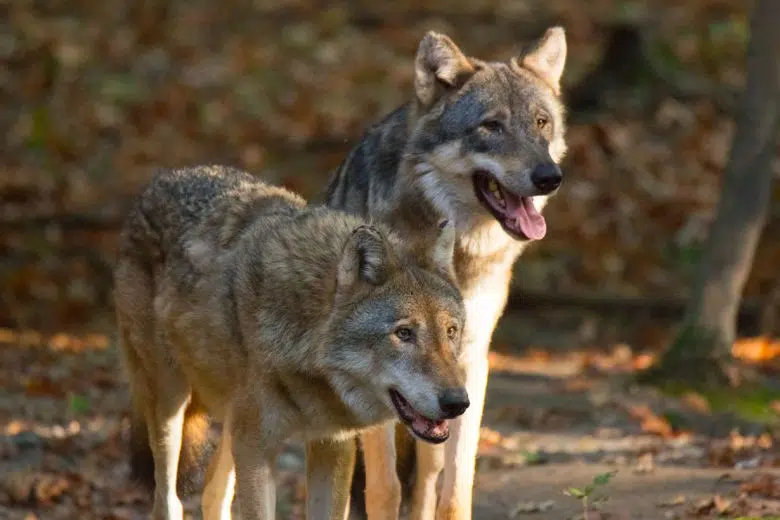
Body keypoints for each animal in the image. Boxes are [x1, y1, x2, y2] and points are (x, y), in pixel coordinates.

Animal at [114, 165, 472, 519]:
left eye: (451, 331)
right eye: (404, 333)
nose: (458, 403)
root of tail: (162, 178)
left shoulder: (333, 445)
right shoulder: (256, 451)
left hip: (230, 424)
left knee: (212, 489)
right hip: (172, 408)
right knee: (167, 498)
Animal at [325, 27, 568, 520]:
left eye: (541, 123)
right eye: (491, 127)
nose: (549, 176)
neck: (457, 251)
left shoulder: (471, 360)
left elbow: (455, 489)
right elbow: (384, 489)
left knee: (427, 478)